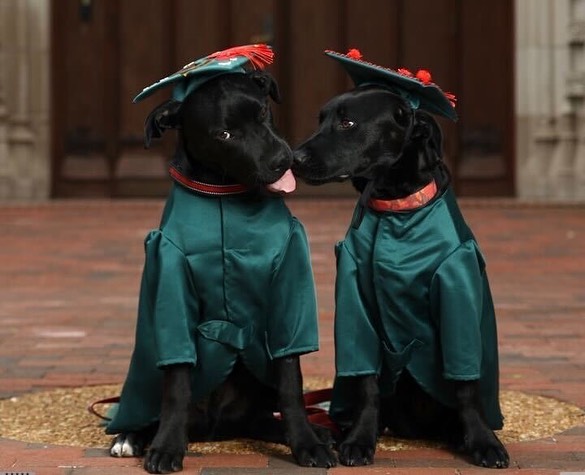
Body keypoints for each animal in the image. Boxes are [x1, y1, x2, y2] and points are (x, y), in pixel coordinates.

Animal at [105, 43, 334, 472]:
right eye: (225, 134)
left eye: (262, 113)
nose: (283, 160)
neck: (226, 196)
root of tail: (215, 427)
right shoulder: (172, 282)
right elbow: (176, 383)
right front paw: (166, 445)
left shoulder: (288, 285)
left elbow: (291, 382)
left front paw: (306, 443)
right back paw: (134, 436)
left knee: (266, 414)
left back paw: (317, 431)